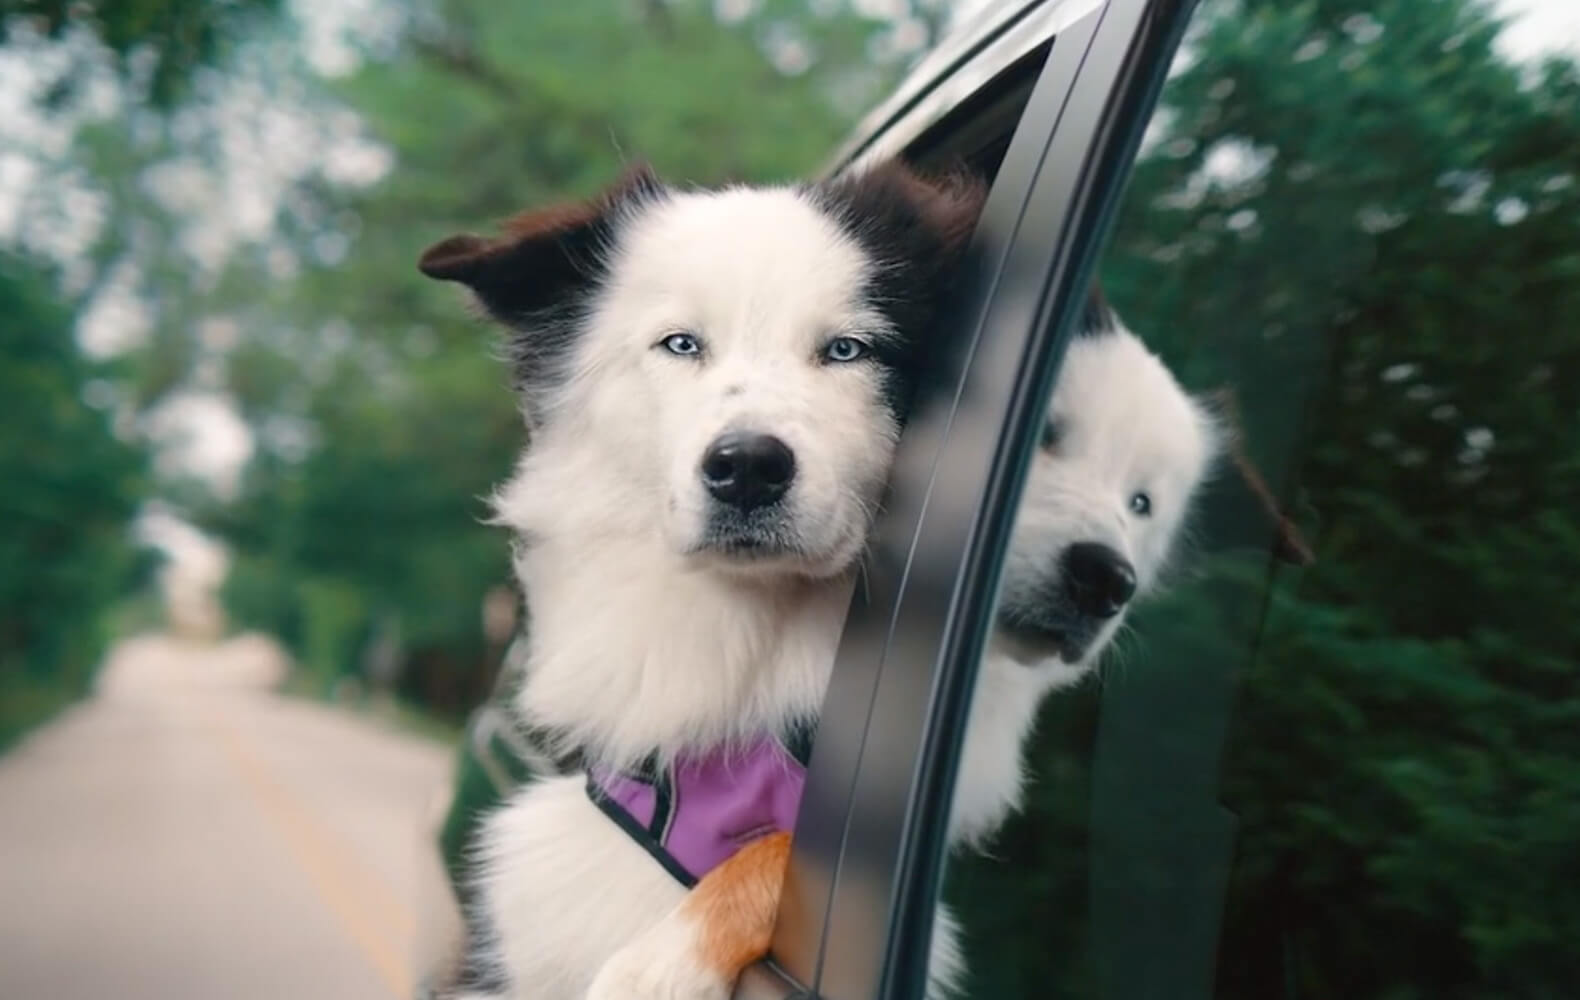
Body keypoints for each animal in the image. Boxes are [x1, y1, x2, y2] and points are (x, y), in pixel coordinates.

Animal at [423, 163, 1232, 998]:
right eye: (680, 344)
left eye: (849, 349)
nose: (748, 467)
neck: (752, 648)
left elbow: (793, 849)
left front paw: (665, 962)